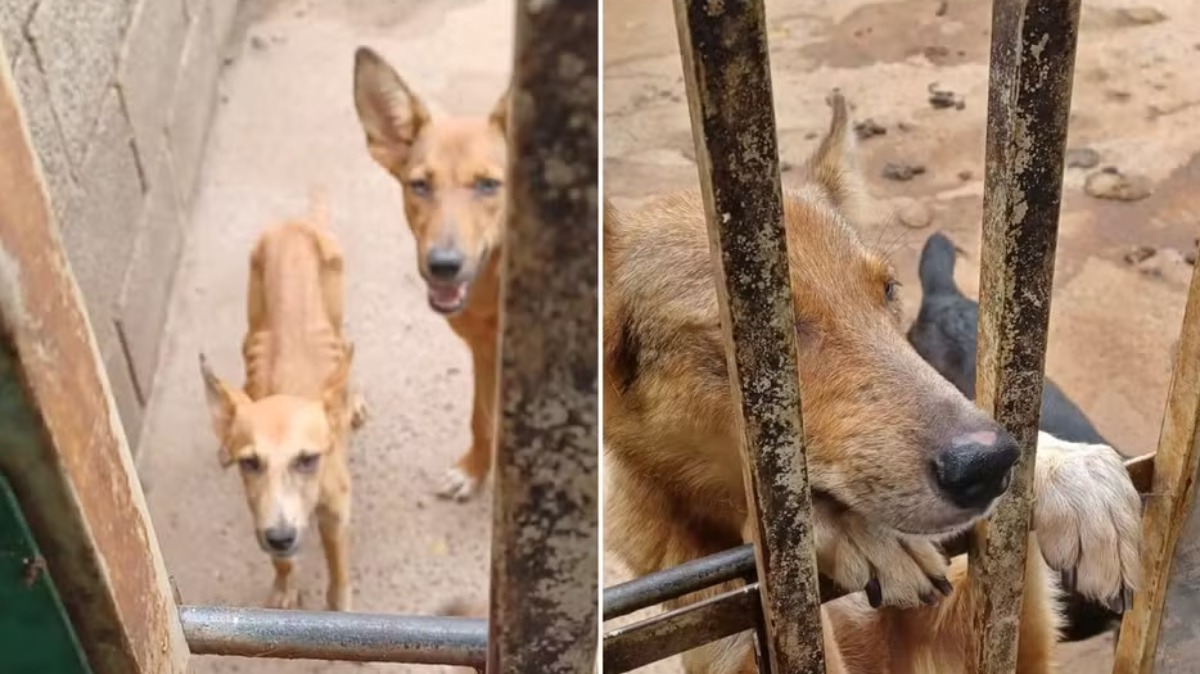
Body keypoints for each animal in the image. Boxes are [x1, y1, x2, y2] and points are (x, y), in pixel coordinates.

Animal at [200, 193, 364, 609]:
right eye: (250, 463)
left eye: (307, 459)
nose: (281, 537)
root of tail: (297, 223)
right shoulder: (259, 510)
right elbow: (282, 562)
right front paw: (285, 584)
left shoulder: (337, 513)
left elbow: (338, 569)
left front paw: (339, 604)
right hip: (252, 319)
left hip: (335, 312)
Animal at [352, 45, 508, 498]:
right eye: (419, 185)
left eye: (489, 185)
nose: (443, 265)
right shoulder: (484, 351)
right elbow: (481, 418)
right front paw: (474, 470)